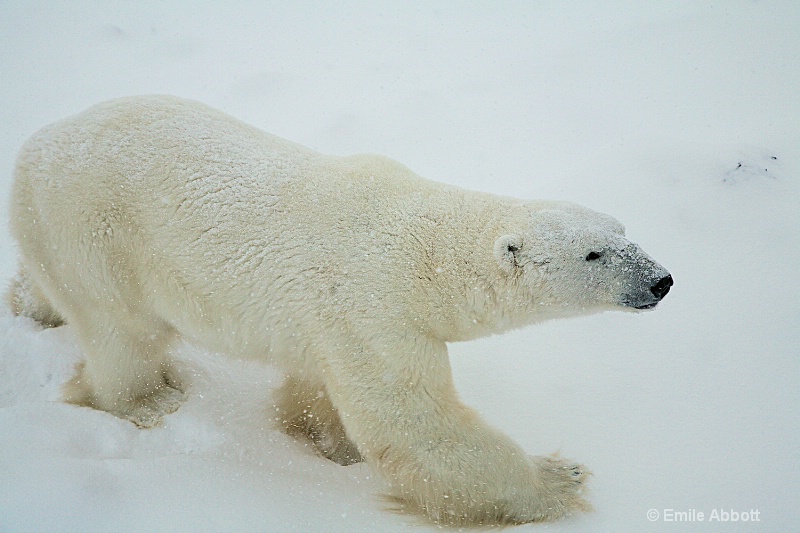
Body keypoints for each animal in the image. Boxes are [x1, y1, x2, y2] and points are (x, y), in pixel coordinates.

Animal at [7, 94, 668, 524]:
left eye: (623, 229)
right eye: (594, 252)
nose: (661, 280)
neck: (421, 250)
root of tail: (31, 150)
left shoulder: (330, 326)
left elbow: (316, 389)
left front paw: (329, 443)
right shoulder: (374, 311)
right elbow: (416, 426)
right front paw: (560, 477)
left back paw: (31, 306)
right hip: (96, 233)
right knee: (123, 332)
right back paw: (149, 401)